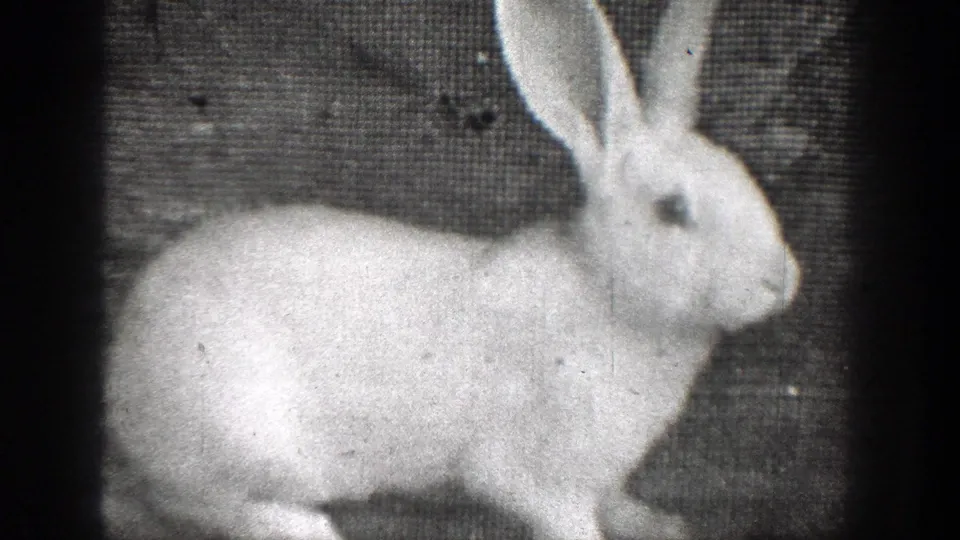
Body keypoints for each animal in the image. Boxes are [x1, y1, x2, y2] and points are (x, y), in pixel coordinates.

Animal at [102, 0, 801, 539]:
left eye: (742, 175)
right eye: (673, 210)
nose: (781, 279)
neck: (610, 294)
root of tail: (124, 377)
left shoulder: (600, 473)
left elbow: (615, 504)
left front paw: (660, 523)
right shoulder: (530, 472)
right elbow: (563, 517)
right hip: (245, 437)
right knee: (197, 500)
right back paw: (306, 527)